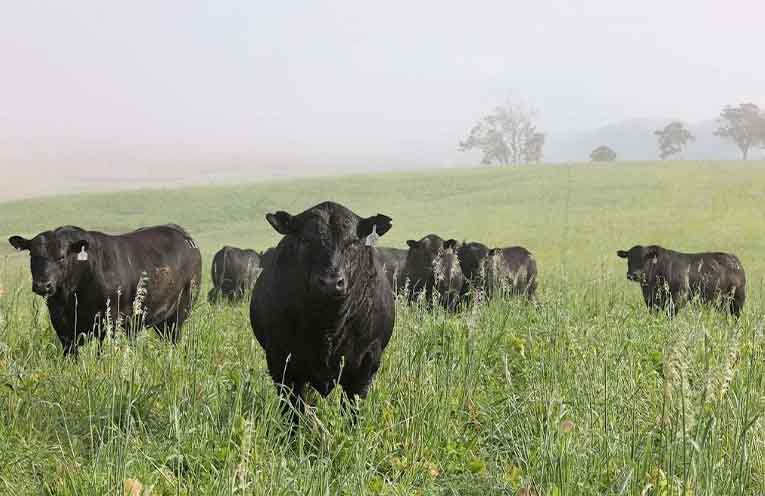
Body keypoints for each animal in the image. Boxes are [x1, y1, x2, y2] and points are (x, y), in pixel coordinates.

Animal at [8, 224, 202, 355]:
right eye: (32, 255)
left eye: (61, 257)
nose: (43, 285)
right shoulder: (62, 325)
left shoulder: (110, 321)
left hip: (180, 311)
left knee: (174, 338)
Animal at [250, 201, 395, 424]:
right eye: (306, 240)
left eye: (352, 242)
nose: (331, 282)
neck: (328, 327)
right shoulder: (281, 364)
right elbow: (293, 413)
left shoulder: (366, 365)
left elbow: (352, 411)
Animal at [616, 245, 746, 317]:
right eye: (629, 259)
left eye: (644, 259)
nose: (633, 274)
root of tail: (734, 260)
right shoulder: (651, 301)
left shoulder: (679, 296)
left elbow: (671, 314)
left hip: (738, 299)